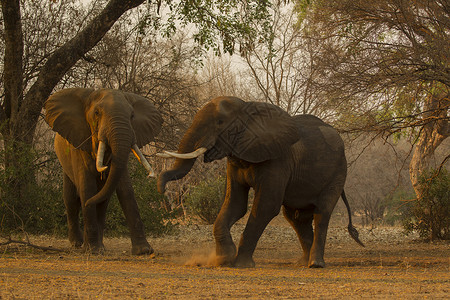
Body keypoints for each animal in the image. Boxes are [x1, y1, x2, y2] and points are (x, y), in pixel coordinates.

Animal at [44, 88, 163, 254]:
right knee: (71, 198)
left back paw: (100, 246)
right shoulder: (80, 144)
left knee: (102, 201)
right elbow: (87, 188)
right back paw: (78, 244)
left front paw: (143, 251)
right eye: (97, 113)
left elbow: (126, 190)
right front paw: (92, 250)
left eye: (132, 116)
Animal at [156, 96, 364, 268]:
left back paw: (315, 264)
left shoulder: (278, 160)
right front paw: (224, 259)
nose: (161, 190)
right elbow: (235, 204)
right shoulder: (235, 159)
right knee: (295, 217)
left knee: (321, 212)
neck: (248, 108)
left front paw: (240, 264)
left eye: (220, 122)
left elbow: (265, 207)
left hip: (338, 172)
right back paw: (302, 263)